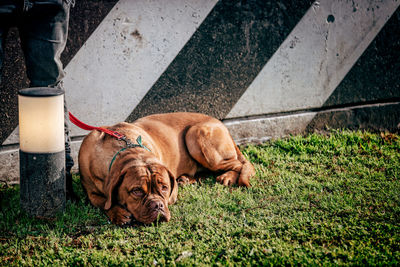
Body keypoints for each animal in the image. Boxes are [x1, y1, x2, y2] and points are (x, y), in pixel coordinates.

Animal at [77, 112, 256, 226]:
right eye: (136, 191)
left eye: (164, 188)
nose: (158, 205)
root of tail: (222, 125)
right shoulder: (91, 193)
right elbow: (104, 203)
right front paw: (118, 213)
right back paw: (187, 179)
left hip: (196, 136)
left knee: (241, 164)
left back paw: (228, 176)